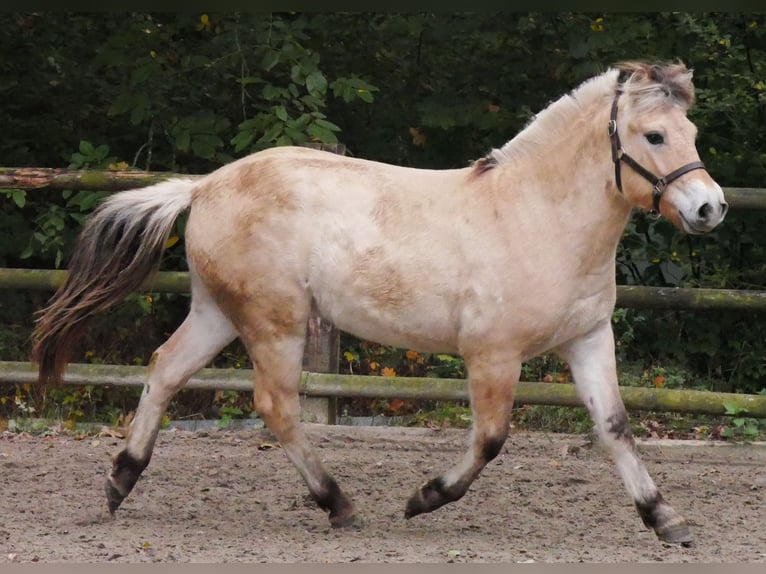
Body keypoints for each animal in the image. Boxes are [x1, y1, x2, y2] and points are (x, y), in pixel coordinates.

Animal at [32, 61, 727, 546]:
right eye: (654, 134)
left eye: (691, 131)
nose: (709, 208)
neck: (539, 215)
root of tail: (204, 186)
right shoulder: (493, 355)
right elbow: (491, 439)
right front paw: (422, 499)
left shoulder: (586, 339)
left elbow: (615, 428)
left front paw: (667, 519)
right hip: (274, 321)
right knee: (276, 405)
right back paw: (339, 505)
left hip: (216, 314)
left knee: (164, 370)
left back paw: (120, 482)